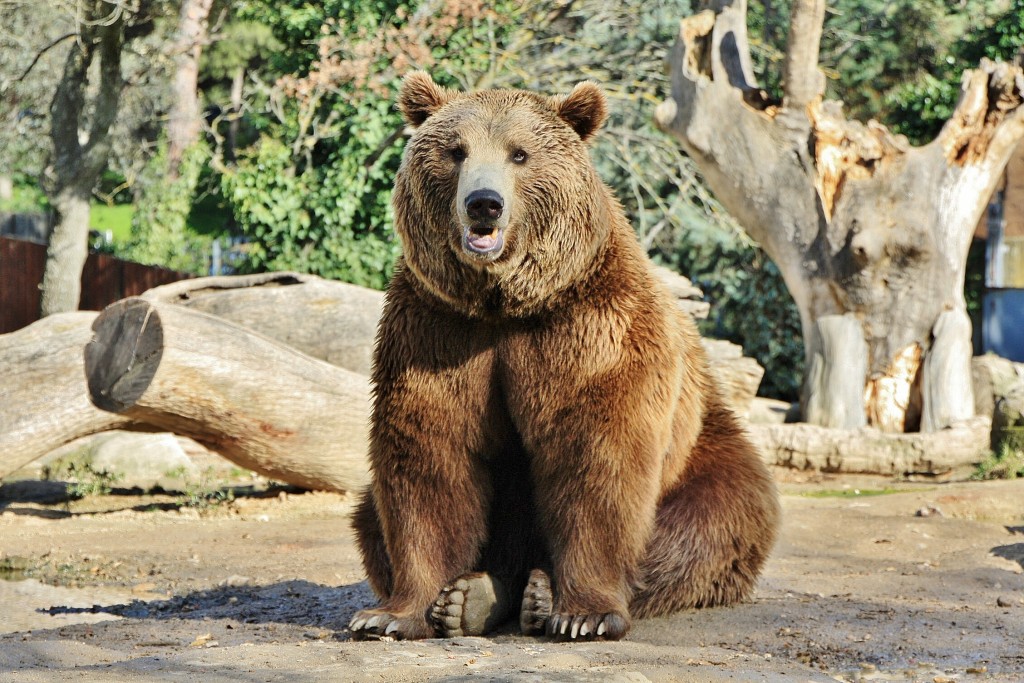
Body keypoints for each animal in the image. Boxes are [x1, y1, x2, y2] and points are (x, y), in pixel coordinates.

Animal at [348, 72, 778, 643]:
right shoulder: (437, 329)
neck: (506, 303)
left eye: (520, 153)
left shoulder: (590, 328)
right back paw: (477, 596)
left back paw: (539, 593)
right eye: (456, 151)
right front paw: (392, 614)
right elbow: (430, 458)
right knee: (369, 515)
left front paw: (583, 614)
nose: (484, 203)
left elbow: (595, 454)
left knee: (702, 527)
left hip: (707, 451)